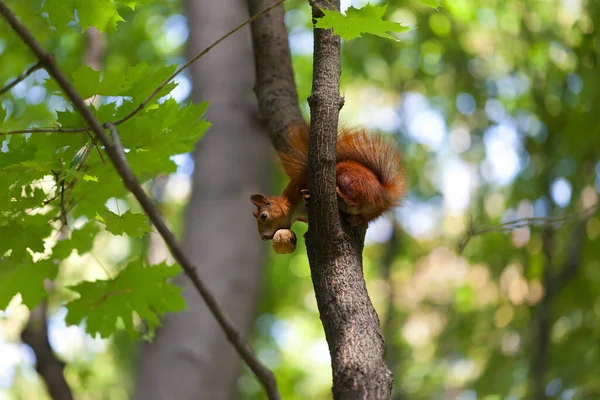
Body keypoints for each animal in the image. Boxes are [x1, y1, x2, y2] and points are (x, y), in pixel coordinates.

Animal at [248, 123, 408, 239]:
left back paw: (342, 197)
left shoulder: (298, 183)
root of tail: (382, 193)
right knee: (364, 217)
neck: (293, 210)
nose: (264, 237)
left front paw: (305, 195)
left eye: (263, 216)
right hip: (371, 211)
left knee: (355, 199)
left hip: (348, 178)